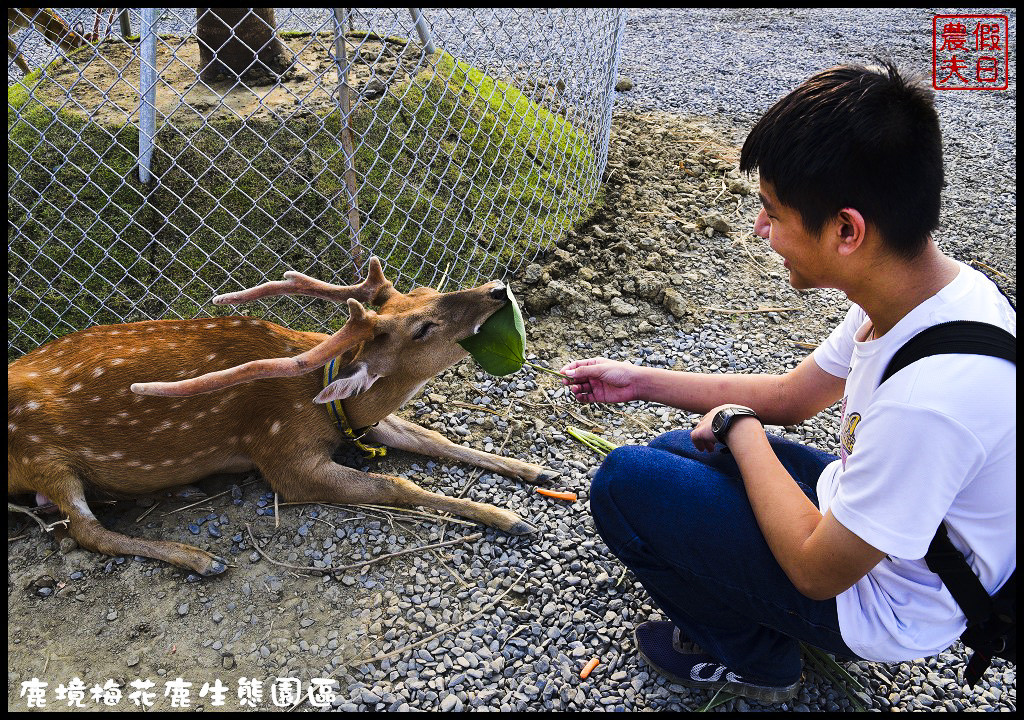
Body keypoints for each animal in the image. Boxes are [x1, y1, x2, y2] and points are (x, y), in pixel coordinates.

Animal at [8, 258, 557, 573]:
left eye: (425, 291)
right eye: (421, 328)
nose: (497, 289)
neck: (327, 403)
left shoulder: (367, 423)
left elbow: (436, 440)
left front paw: (537, 471)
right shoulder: (282, 455)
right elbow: (397, 485)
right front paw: (512, 519)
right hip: (42, 456)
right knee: (85, 531)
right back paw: (201, 560)